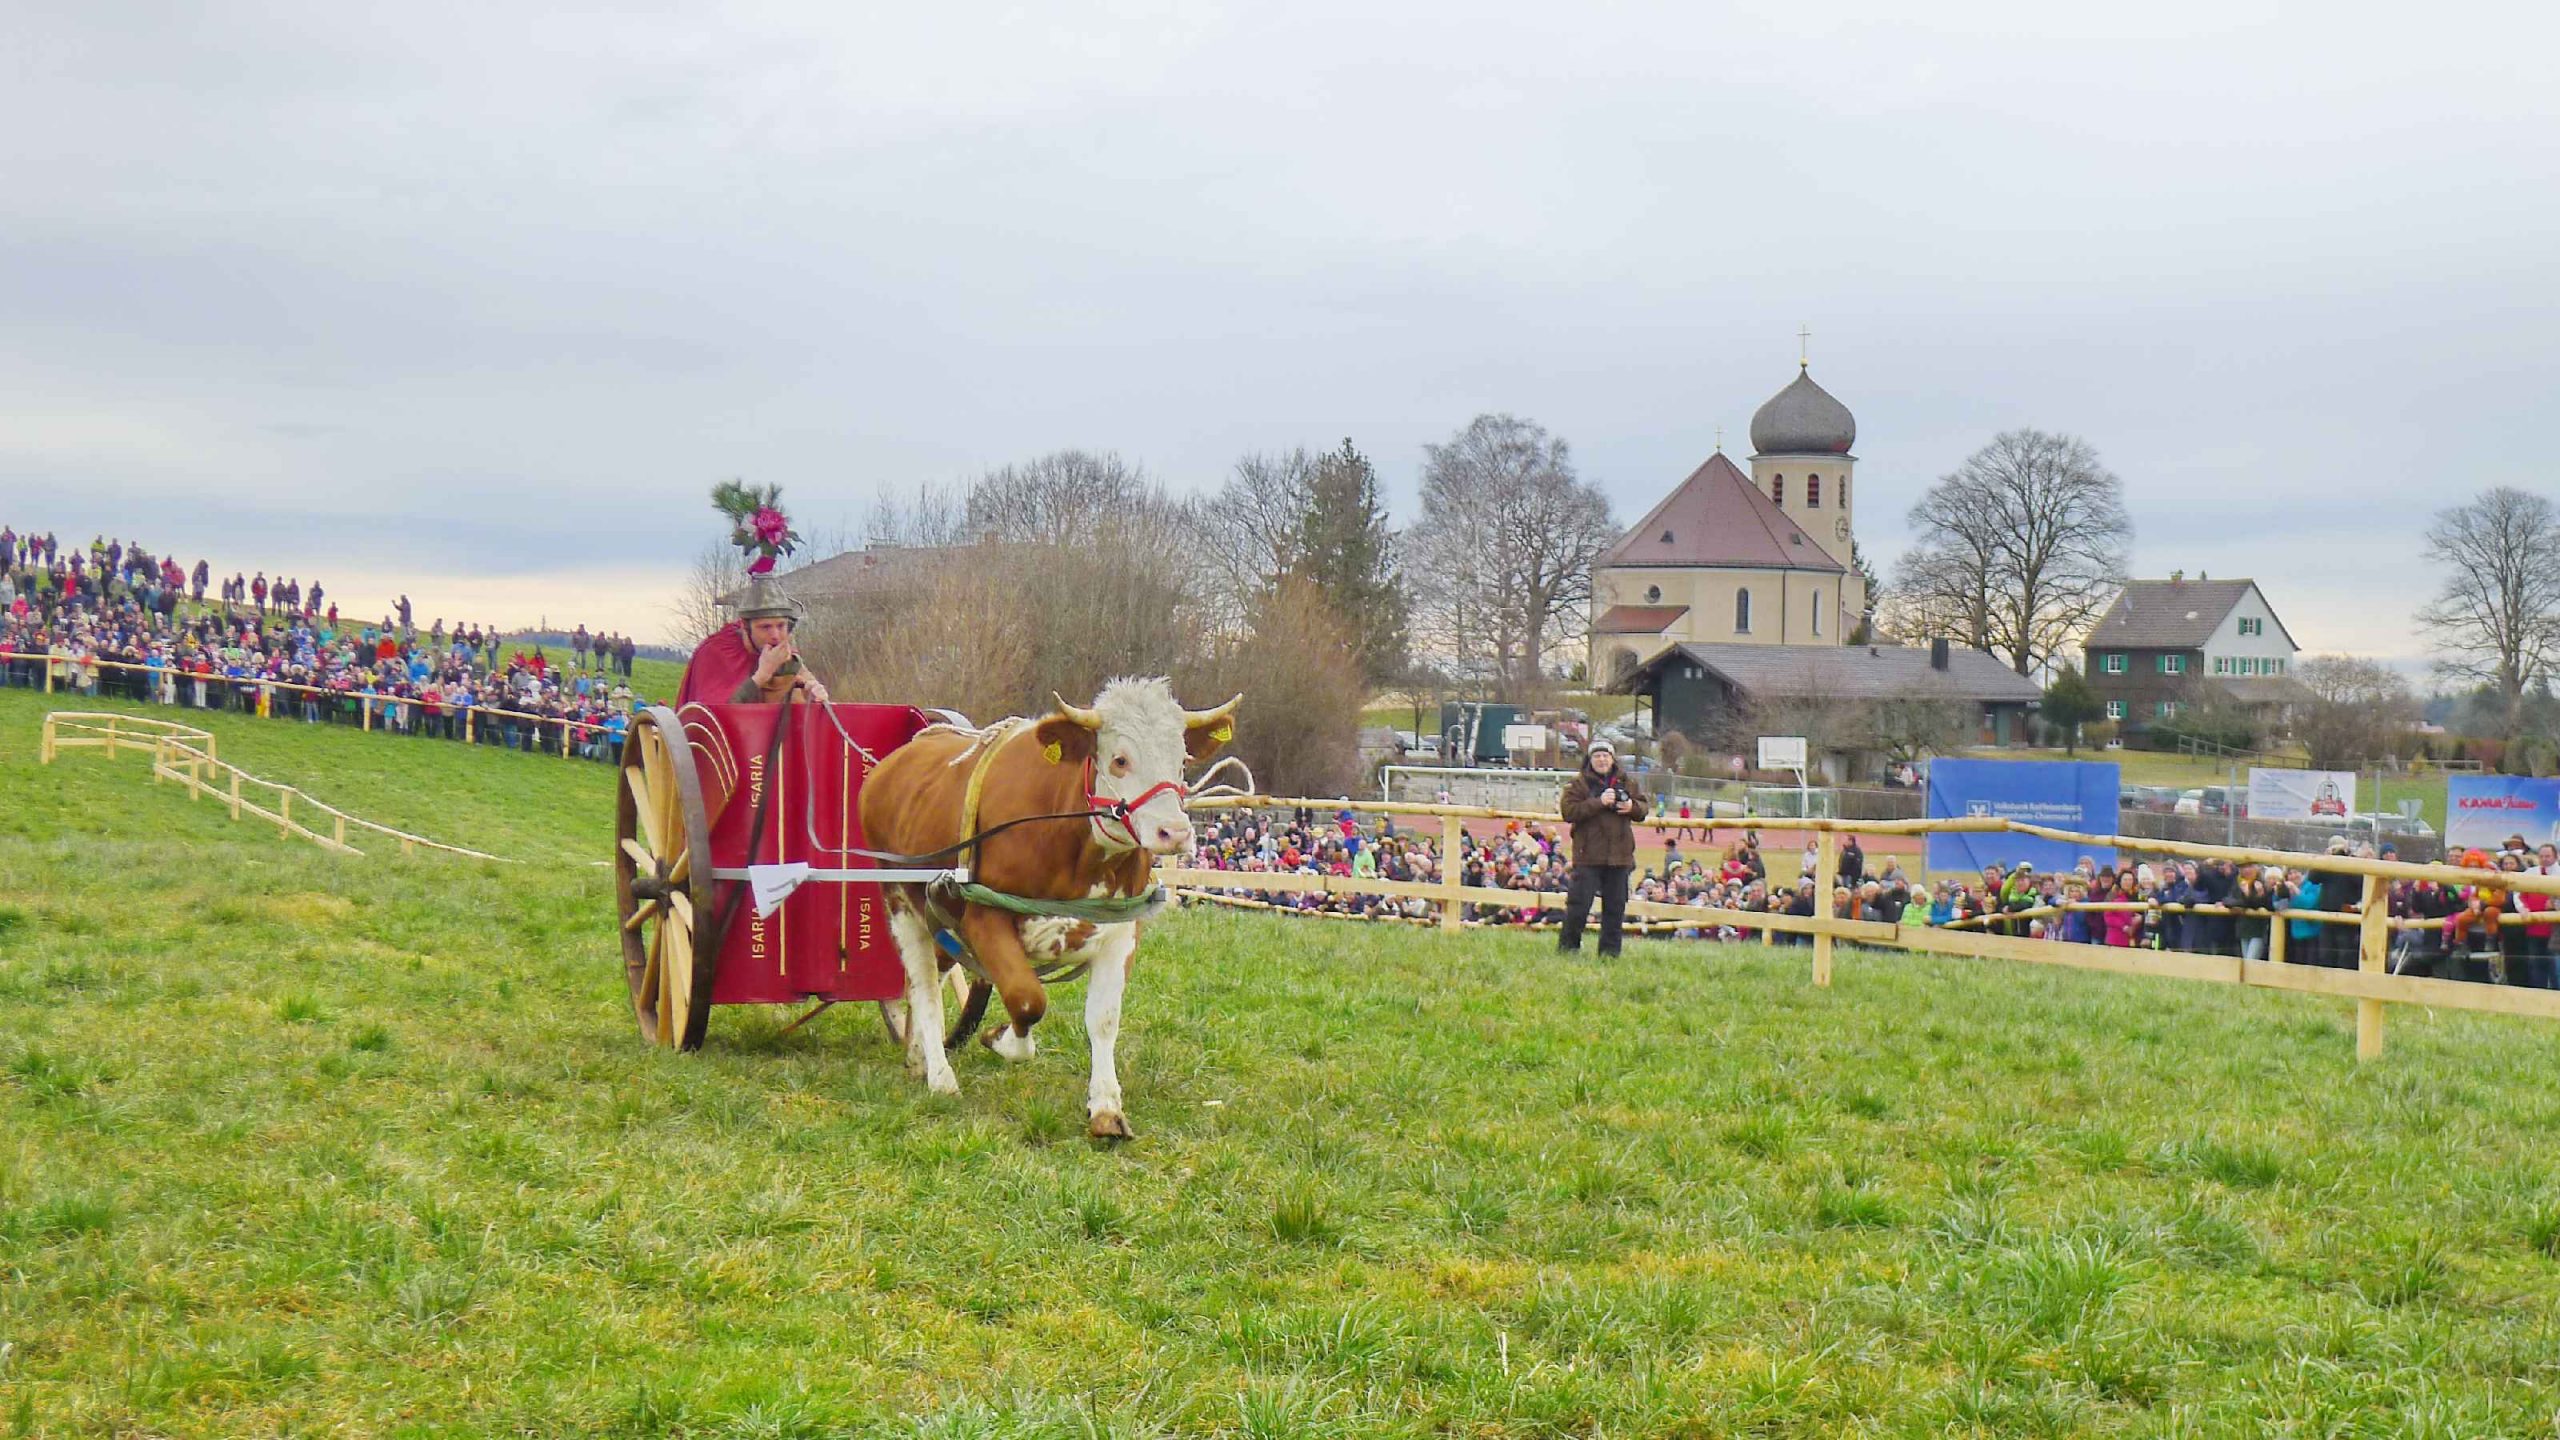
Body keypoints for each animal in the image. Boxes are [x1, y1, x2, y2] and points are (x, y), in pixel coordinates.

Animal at [857, 677, 1238, 1138]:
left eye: (1181, 761)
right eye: (1120, 759)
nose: (1176, 833)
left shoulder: (1122, 930)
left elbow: (1104, 1019)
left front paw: (1106, 1106)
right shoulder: (984, 919)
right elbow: (1026, 999)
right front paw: (1000, 1038)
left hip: (940, 914)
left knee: (933, 973)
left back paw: (917, 1056)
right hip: (900, 900)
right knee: (924, 983)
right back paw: (941, 1077)